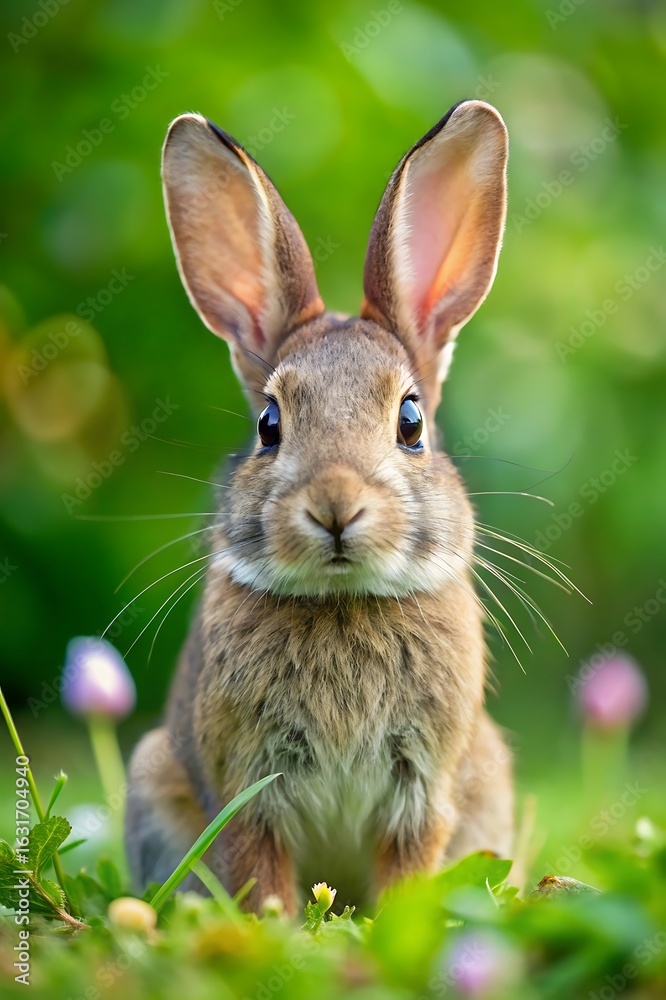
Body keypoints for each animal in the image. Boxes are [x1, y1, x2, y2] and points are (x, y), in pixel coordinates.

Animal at [125, 99, 514, 915]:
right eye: (269, 426)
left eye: (411, 421)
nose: (336, 506)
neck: (342, 600)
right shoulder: (248, 786)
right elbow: (258, 867)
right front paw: (274, 927)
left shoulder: (421, 789)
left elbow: (408, 866)